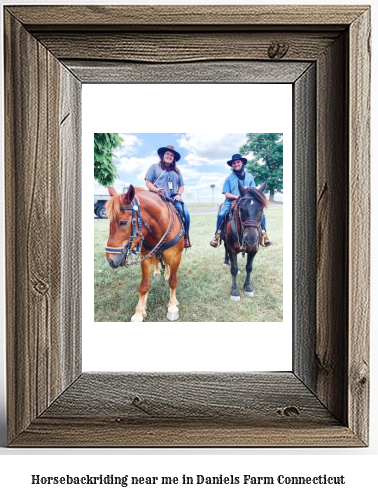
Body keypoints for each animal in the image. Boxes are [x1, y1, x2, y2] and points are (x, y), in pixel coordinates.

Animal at [105, 186, 185, 322]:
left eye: (123, 222)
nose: (111, 260)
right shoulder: (145, 260)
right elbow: (143, 286)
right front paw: (139, 312)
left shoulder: (176, 258)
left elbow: (173, 281)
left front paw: (172, 306)